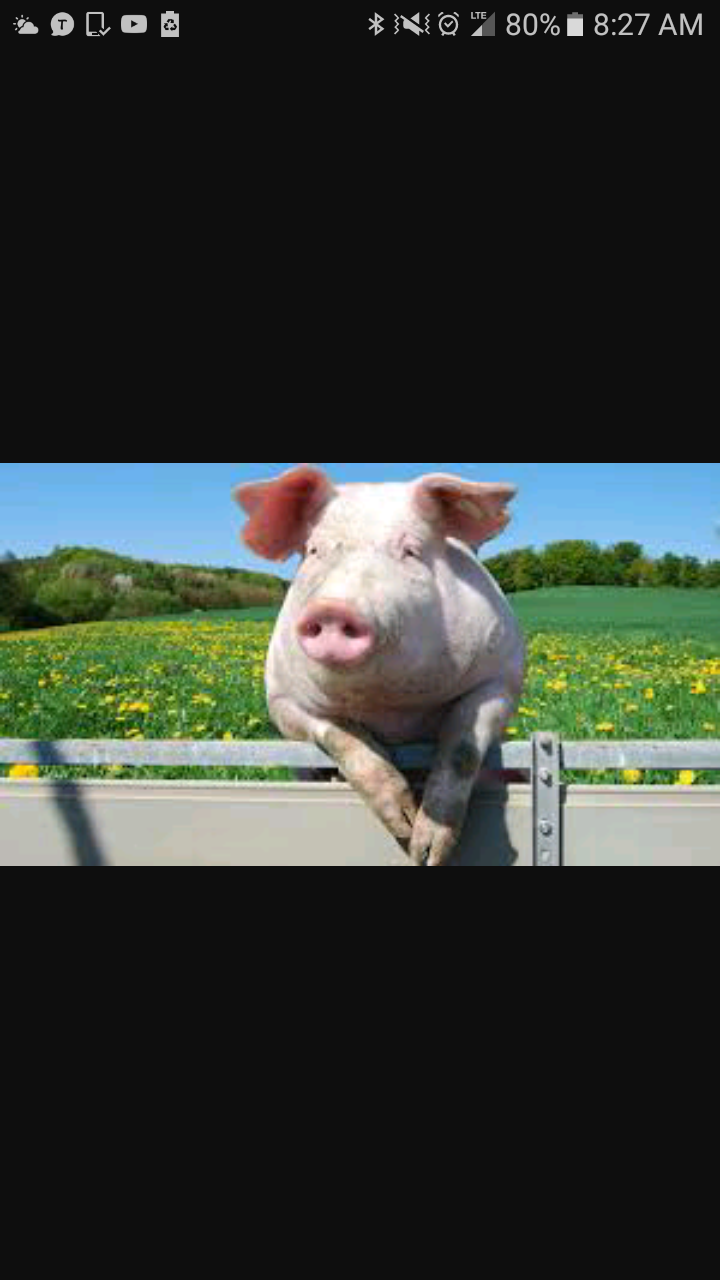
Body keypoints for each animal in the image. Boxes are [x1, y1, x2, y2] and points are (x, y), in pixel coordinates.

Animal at [234, 466, 525, 866]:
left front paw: (427, 852)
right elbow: (343, 737)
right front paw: (404, 825)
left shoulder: (503, 675)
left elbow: (462, 747)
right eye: (314, 551)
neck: (391, 705)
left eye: (410, 551)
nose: (333, 609)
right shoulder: (281, 698)